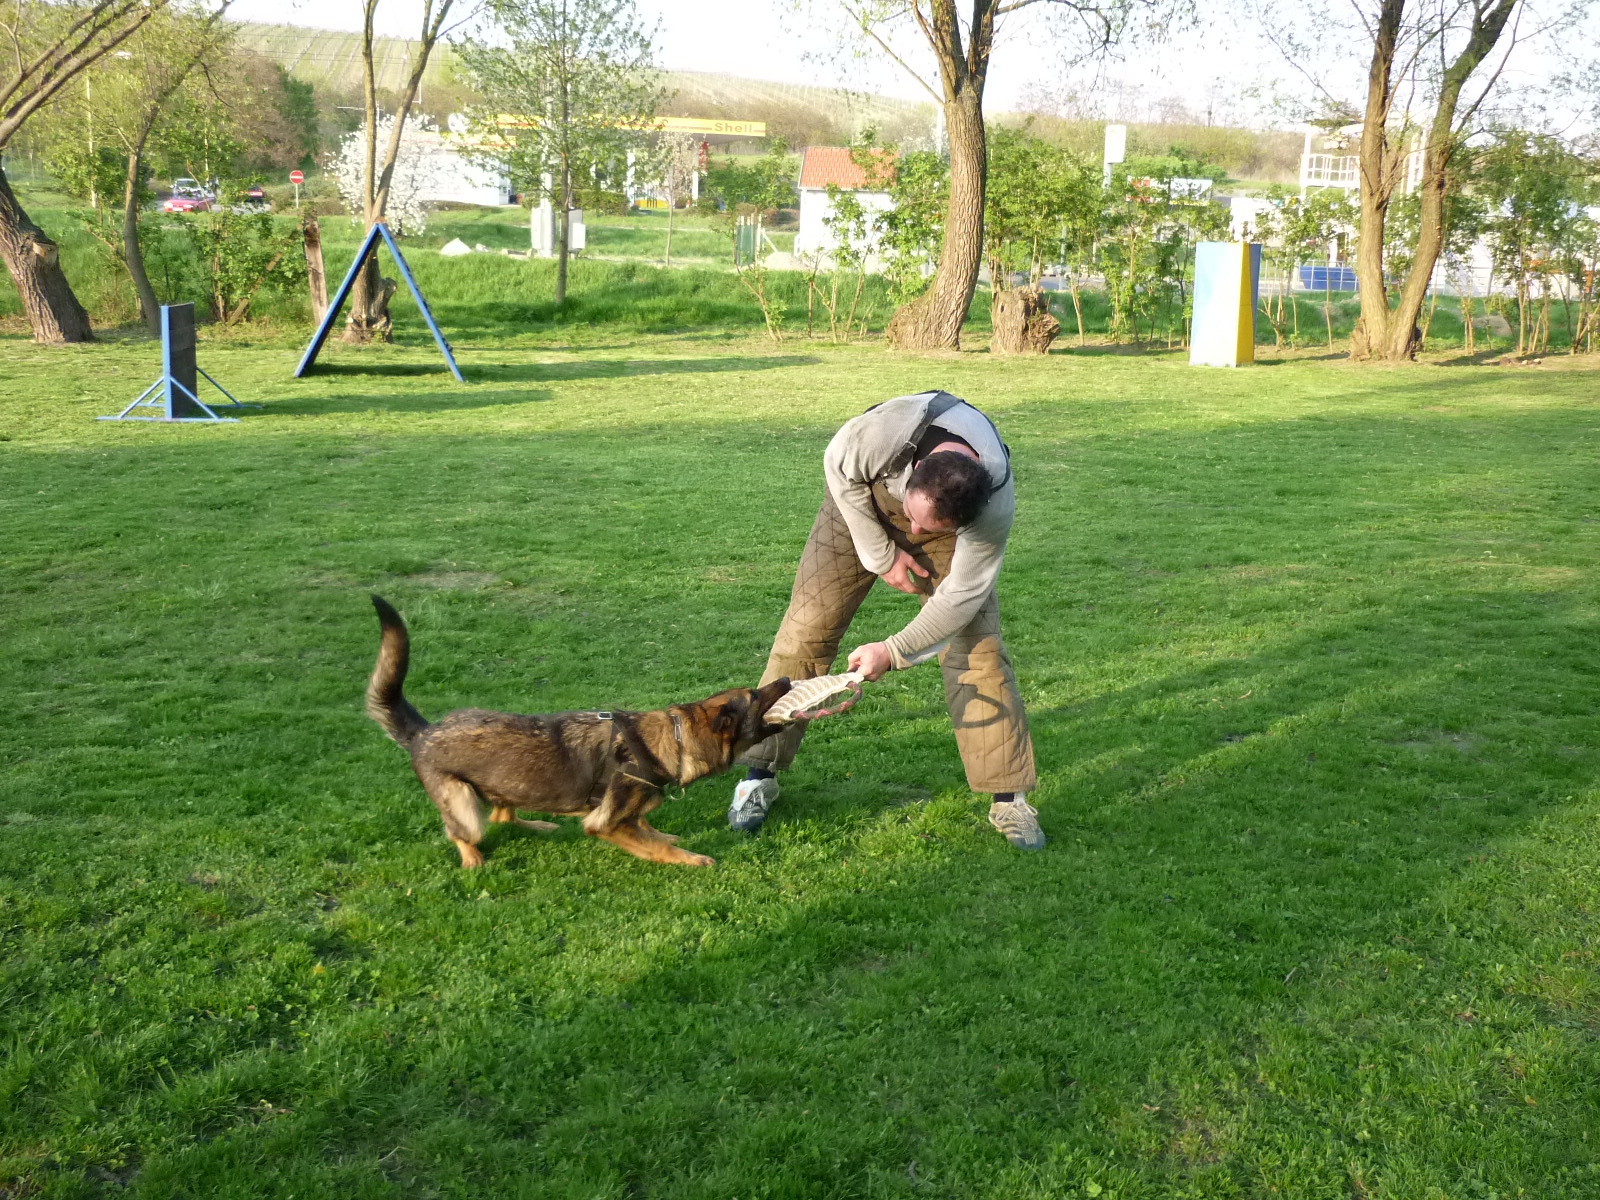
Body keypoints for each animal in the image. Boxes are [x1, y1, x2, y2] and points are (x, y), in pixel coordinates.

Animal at [365, 596, 791, 868]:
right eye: (755, 695)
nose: (787, 678)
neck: (673, 739)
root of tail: (424, 731)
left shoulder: (628, 810)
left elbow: (647, 826)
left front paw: (663, 836)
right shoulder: (604, 822)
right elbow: (653, 846)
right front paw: (691, 858)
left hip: (509, 784)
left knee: (504, 816)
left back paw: (539, 824)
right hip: (465, 806)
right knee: (464, 831)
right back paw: (473, 859)